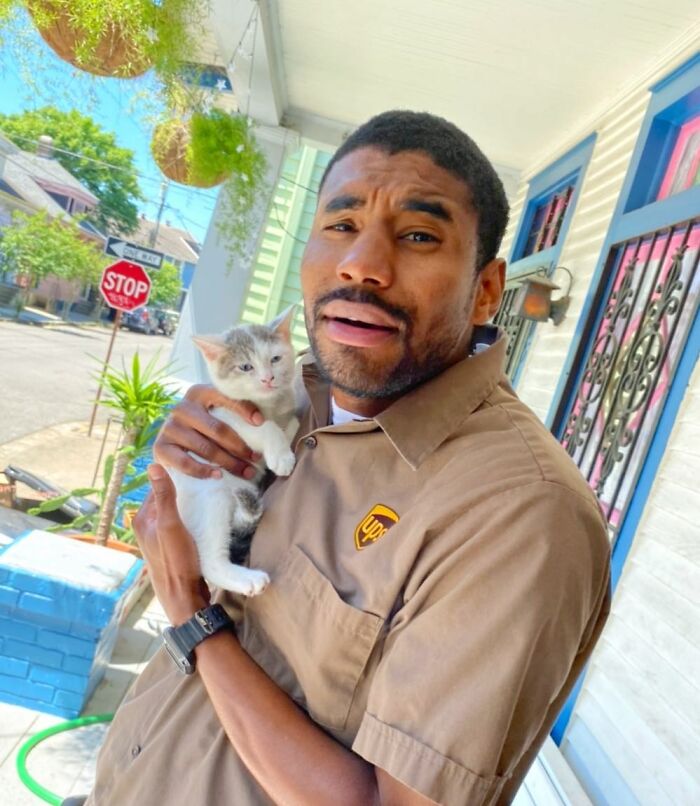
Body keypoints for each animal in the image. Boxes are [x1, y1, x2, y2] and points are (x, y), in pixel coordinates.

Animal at [172, 310, 300, 600]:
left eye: (275, 359)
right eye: (245, 367)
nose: (268, 378)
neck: (266, 404)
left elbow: (289, 421)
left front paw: (287, 436)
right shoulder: (224, 415)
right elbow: (263, 427)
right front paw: (280, 454)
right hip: (211, 498)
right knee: (210, 561)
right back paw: (247, 579)